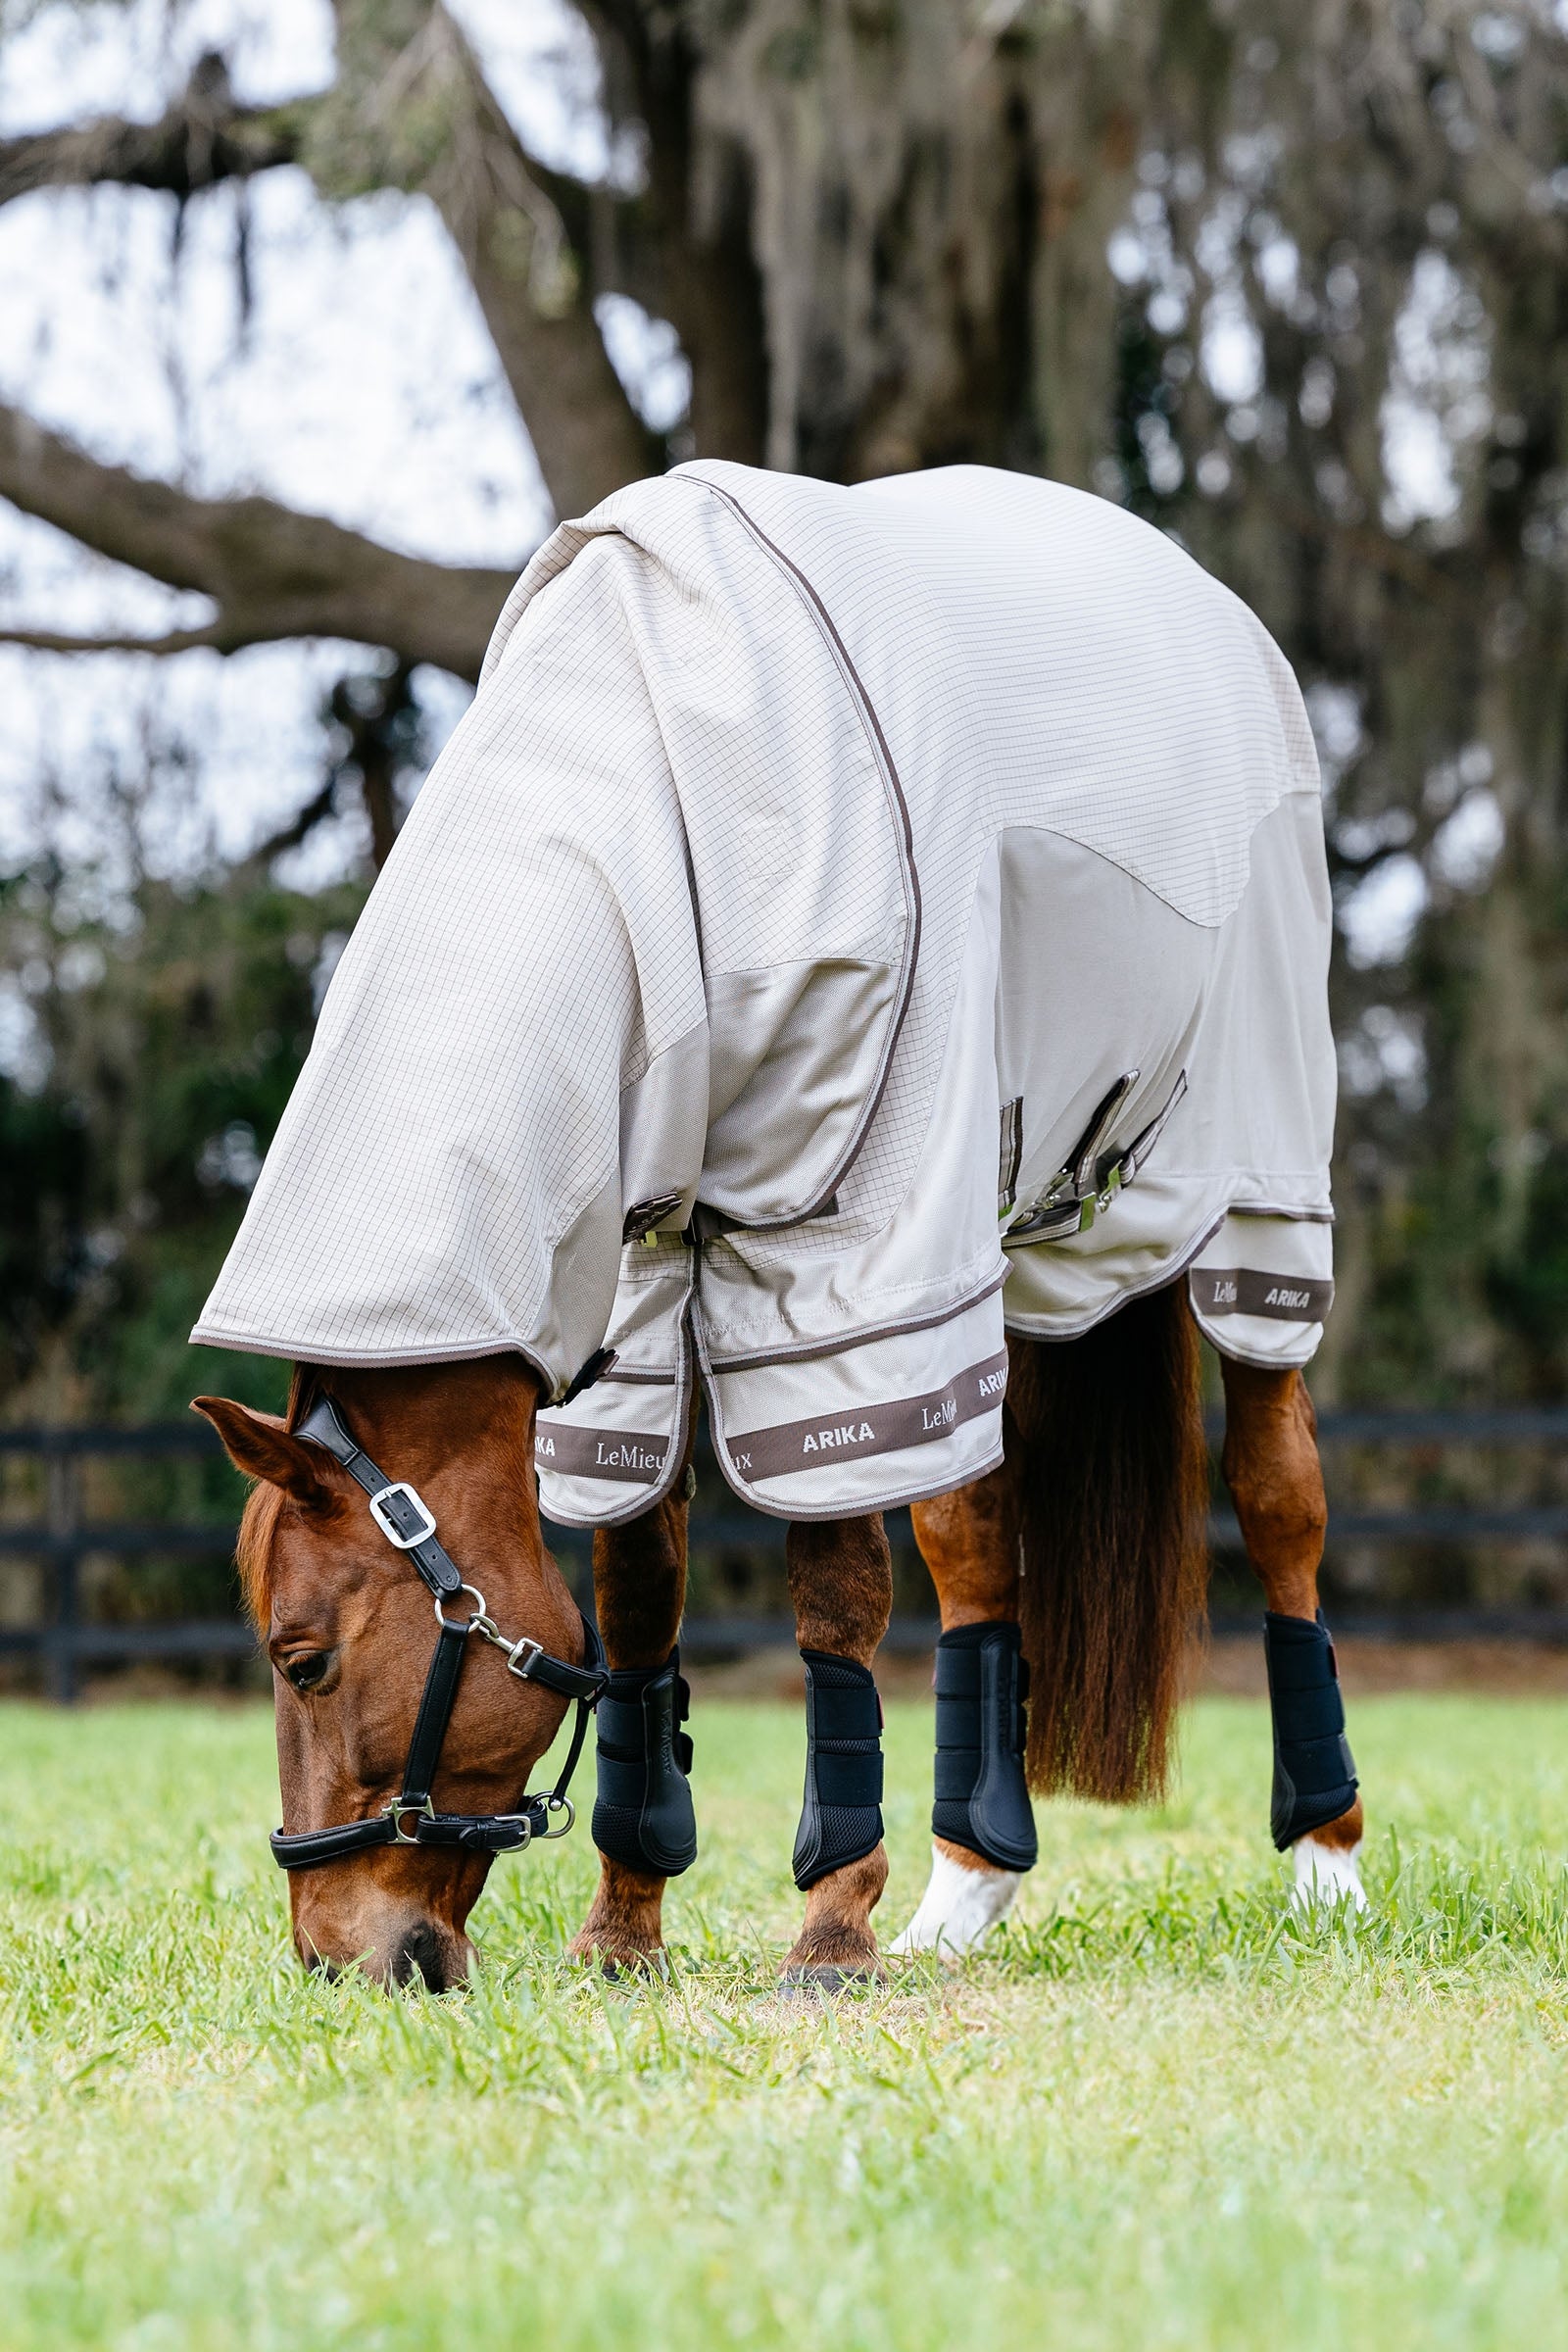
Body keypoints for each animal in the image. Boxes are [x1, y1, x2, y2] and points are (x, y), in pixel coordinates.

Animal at [192, 461, 1362, 1990]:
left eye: (302, 1659)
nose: (342, 1957)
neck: (662, 800)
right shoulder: (633, 1284)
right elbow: (637, 1591)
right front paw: (623, 1931)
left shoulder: (845, 1254)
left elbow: (837, 1589)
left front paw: (829, 1929)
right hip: (998, 1246)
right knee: (978, 1531)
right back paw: (967, 1891)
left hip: (1253, 1209)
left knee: (1279, 1499)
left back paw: (1325, 1864)